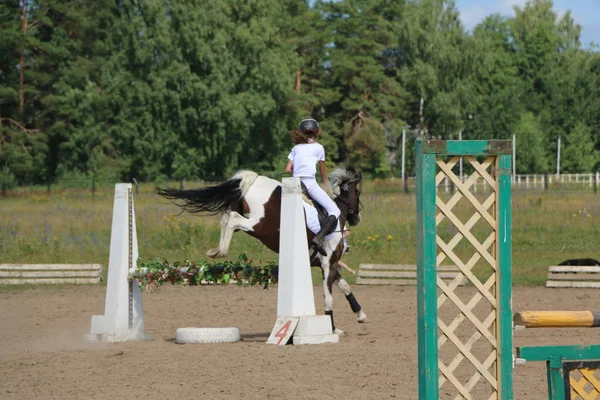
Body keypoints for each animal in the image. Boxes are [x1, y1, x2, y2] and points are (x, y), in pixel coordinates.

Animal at [155, 167, 368, 332]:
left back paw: (216, 250)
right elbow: (329, 297)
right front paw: (331, 327)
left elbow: (345, 287)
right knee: (232, 219)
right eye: (358, 193)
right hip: (259, 225)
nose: (357, 218)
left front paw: (360, 314)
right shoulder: (328, 265)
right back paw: (221, 250)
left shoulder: (329, 265)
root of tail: (254, 178)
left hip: (247, 218)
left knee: (225, 217)